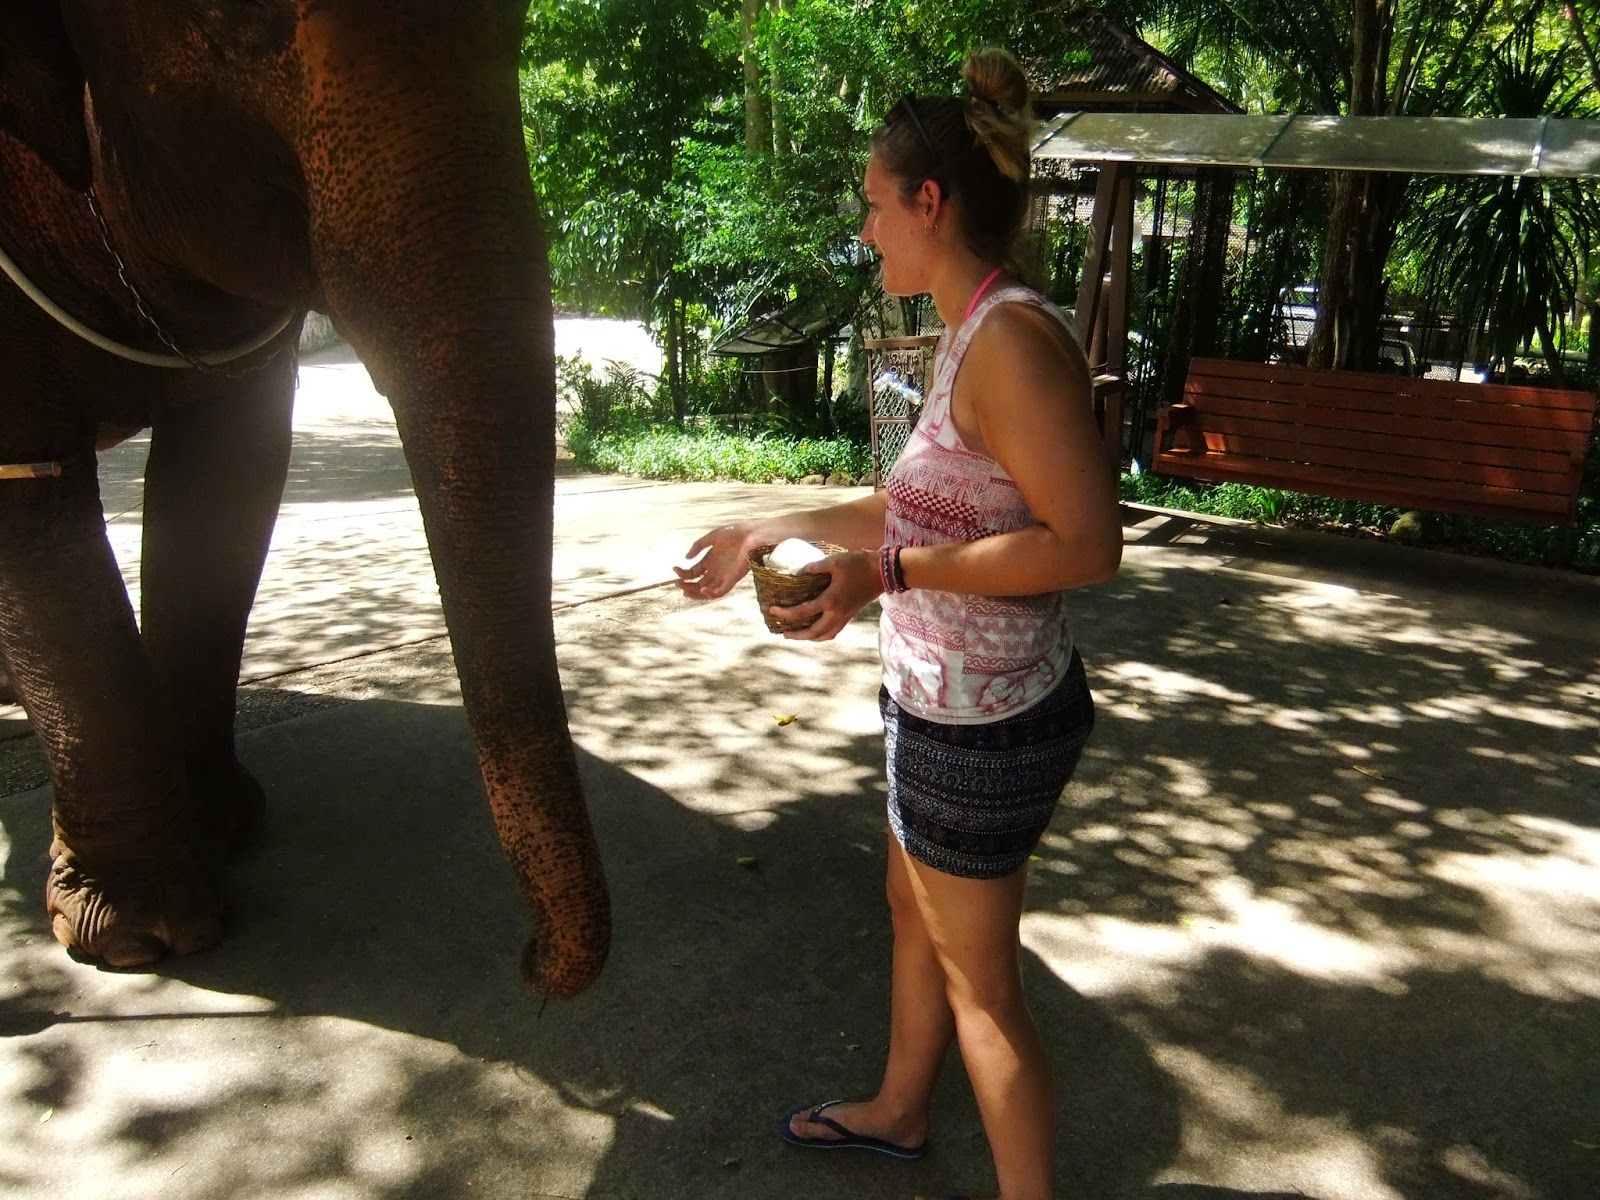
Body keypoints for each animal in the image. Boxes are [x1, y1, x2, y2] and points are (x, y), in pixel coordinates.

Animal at [0, 0, 609, 998]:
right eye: (231, 19)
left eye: (517, 20)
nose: (527, 959)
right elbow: (30, 509)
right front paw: (142, 938)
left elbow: (228, 481)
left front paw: (223, 827)